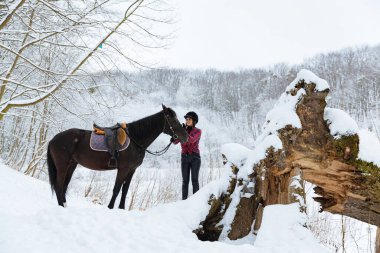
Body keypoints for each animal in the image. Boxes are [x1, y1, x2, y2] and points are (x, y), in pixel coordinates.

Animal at [47, 105, 189, 209]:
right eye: (172, 119)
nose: (186, 136)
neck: (135, 139)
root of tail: (53, 139)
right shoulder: (123, 169)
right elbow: (116, 189)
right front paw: (110, 207)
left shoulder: (132, 170)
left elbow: (125, 190)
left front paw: (121, 208)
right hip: (62, 167)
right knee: (59, 185)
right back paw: (61, 206)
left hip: (71, 165)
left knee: (64, 185)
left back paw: (64, 205)